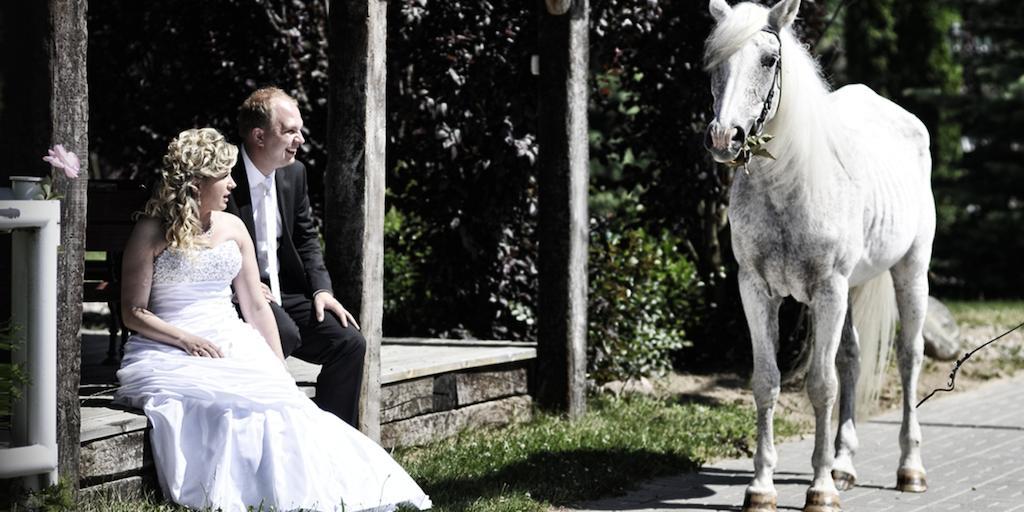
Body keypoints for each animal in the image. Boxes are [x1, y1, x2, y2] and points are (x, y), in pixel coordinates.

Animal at [704, 1, 937, 512]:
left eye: (769, 59)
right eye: (714, 63)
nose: (725, 137)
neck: (789, 185)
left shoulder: (828, 290)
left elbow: (820, 385)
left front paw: (821, 489)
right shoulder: (756, 291)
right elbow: (767, 381)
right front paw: (761, 487)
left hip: (910, 270)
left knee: (909, 358)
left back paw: (910, 469)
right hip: (852, 287)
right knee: (850, 359)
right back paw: (844, 464)